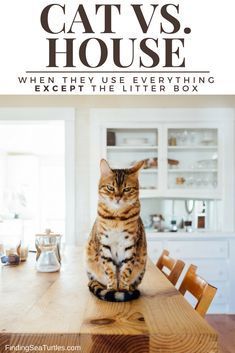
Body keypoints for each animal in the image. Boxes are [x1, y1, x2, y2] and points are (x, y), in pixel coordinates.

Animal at [84, 159, 147, 300]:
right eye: (110, 188)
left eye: (127, 189)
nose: (118, 197)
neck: (117, 218)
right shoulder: (105, 244)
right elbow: (110, 270)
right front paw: (112, 289)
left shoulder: (130, 245)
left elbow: (125, 271)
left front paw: (123, 290)